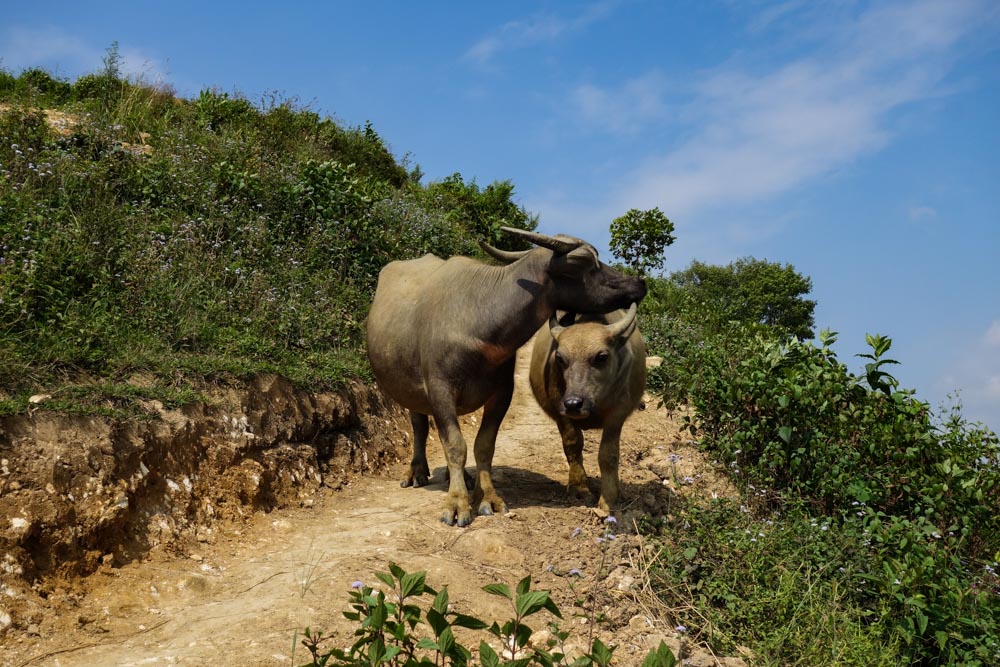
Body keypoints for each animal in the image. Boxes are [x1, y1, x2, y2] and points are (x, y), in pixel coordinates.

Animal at [532, 302, 648, 512]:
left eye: (601, 357)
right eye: (560, 358)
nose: (573, 403)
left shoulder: (617, 414)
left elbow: (608, 454)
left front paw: (609, 498)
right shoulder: (561, 410)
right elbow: (573, 445)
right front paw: (579, 488)